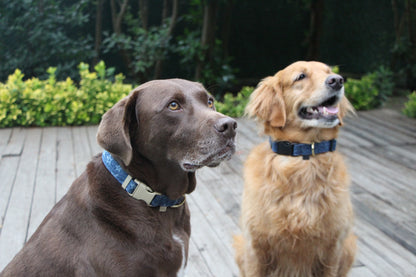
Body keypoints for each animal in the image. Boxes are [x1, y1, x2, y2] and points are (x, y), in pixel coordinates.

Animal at [234, 61, 358, 274]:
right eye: (301, 76)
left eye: (329, 72)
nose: (337, 80)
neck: (304, 155)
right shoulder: (256, 246)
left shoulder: (333, 248)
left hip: (349, 247)